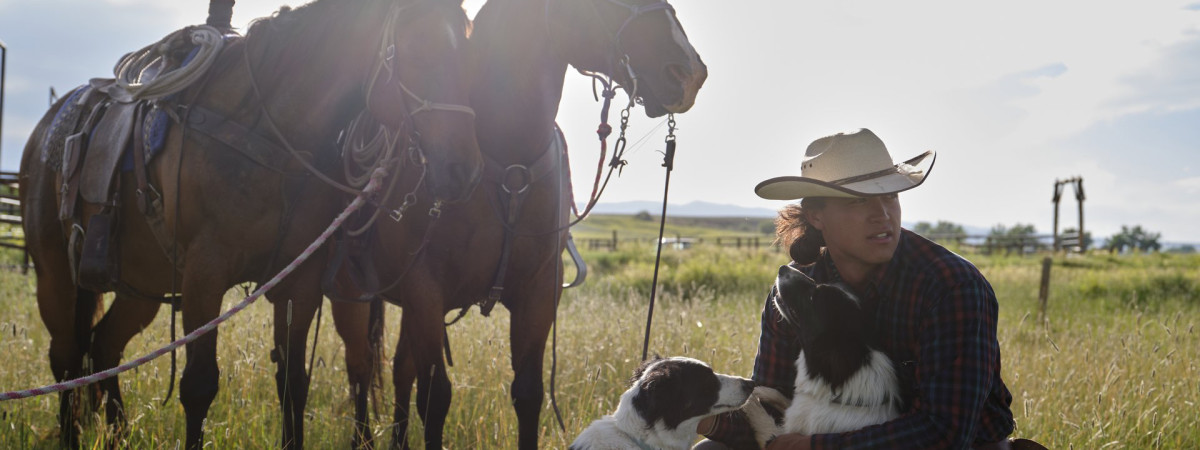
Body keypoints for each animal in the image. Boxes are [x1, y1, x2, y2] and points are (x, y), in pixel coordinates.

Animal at [18, 0, 482, 448]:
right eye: (416, 51)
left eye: (467, 50)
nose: (462, 169)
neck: (270, 133)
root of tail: (45, 129)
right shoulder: (204, 275)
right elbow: (199, 385)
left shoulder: (299, 283)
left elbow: (294, 385)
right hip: (55, 276)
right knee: (66, 360)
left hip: (140, 286)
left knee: (103, 346)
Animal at [328, 0, 705, 448]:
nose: (689, 74)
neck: (507, 162)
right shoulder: (425, 290)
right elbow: (435, 398)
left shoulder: (537, 293)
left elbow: (527, 393)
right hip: (353, 295)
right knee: (361, 368)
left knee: (400, 369)